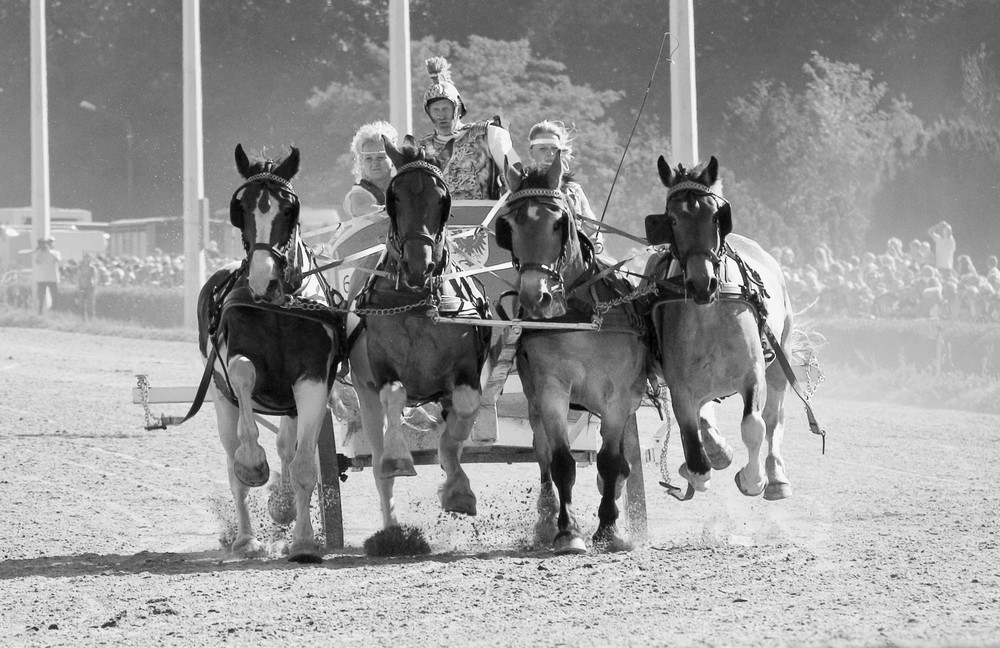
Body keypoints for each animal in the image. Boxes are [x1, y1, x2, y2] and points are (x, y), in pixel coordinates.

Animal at [348, 134, 496, 528]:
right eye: (393, 198)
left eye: (442, 199)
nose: (420, 265)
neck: (417, 300)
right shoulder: (381, 364)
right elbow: (395, 393)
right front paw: (399, 458)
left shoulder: (465, 372)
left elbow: (460, 420)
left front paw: (457, 488)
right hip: (364, 396)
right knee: (377, 462)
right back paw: (391, 527)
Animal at [496, 152, 652, 552]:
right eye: (510, 227)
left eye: (558, 223)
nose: (536, 297)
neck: (580, 319)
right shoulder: (552, 390)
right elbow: (561, 462)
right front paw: (567, 531)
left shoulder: (618, 398)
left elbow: (611, 463)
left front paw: (609, 528)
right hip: (534, 399)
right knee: (542, 454)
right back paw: (546, 517)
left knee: (618, 464)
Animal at [644, 157, 792, 502]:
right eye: (672, 219)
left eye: (715, 215)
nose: (703, 283)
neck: (708, 313)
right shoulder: (680, 386)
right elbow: (696, 452)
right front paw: (705, 462)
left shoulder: (753, 373)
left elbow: (754, 426)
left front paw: (753, 480)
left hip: (779, 359)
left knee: (773, 419)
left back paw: (776, 477)